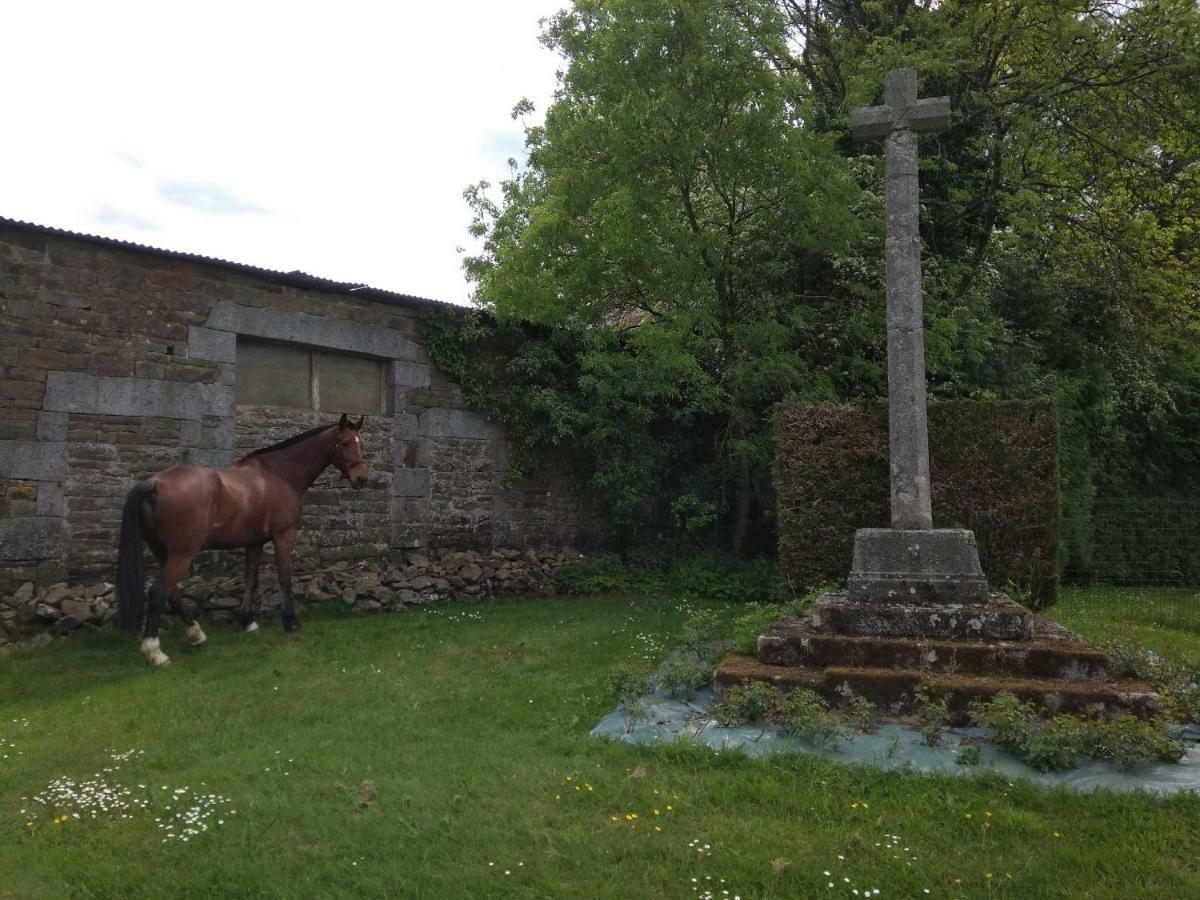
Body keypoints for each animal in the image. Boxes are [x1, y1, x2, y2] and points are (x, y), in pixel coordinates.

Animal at [119, 415, 369, 662]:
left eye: (360, 443)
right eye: (345, 442)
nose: (362, 478)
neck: (279, 474)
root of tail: (154, 483)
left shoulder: (254, 542)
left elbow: (251, 579)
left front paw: (248, 622)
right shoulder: (284, 535)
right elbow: (284, 578)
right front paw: (290, 621)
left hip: (163, 553)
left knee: (172, 592)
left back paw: (196, 635)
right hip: (182, 554)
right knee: (158, 592)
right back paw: (155, 651)